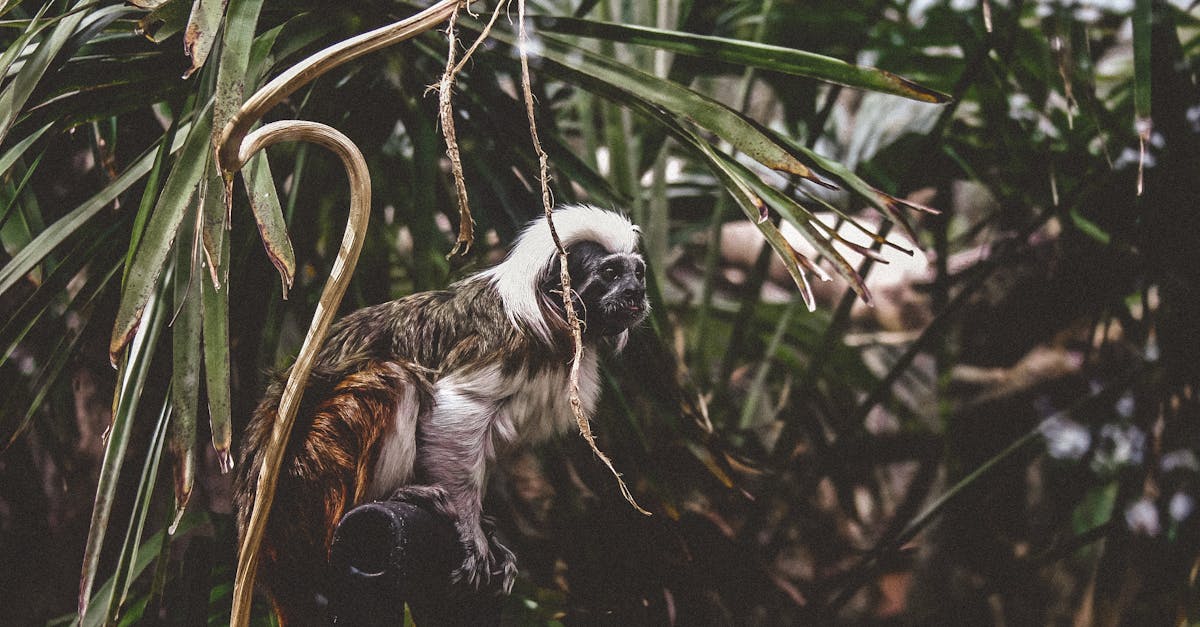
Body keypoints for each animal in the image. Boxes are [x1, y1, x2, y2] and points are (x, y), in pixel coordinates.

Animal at [233, 205, 649, 626]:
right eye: (610, 273)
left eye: (637, 272)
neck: (556, 321)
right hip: (308, 485)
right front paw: (470, 529)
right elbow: (458, 406)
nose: (637, 292)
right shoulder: (503, 343)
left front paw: (486, 529)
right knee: (393, 377)